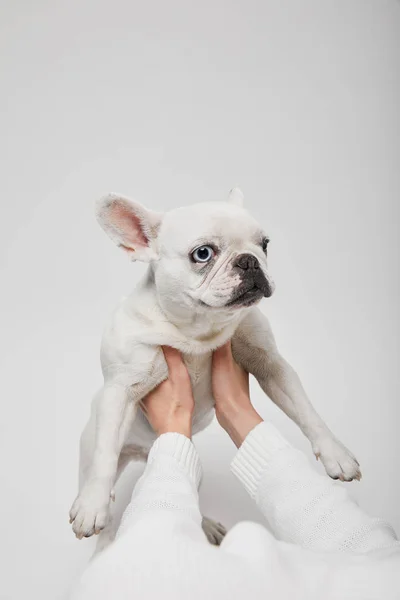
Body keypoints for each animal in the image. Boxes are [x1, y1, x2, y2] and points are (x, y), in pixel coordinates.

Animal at [69, 190, 362, 548]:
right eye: (203, 253)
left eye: (264, 245)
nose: (249, 260)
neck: (197, 331)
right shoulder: (120, 390)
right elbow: (105, 456)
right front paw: (92, 505)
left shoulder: (272, 366)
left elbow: (306, 411)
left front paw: (336, 453)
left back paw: (205, 525)